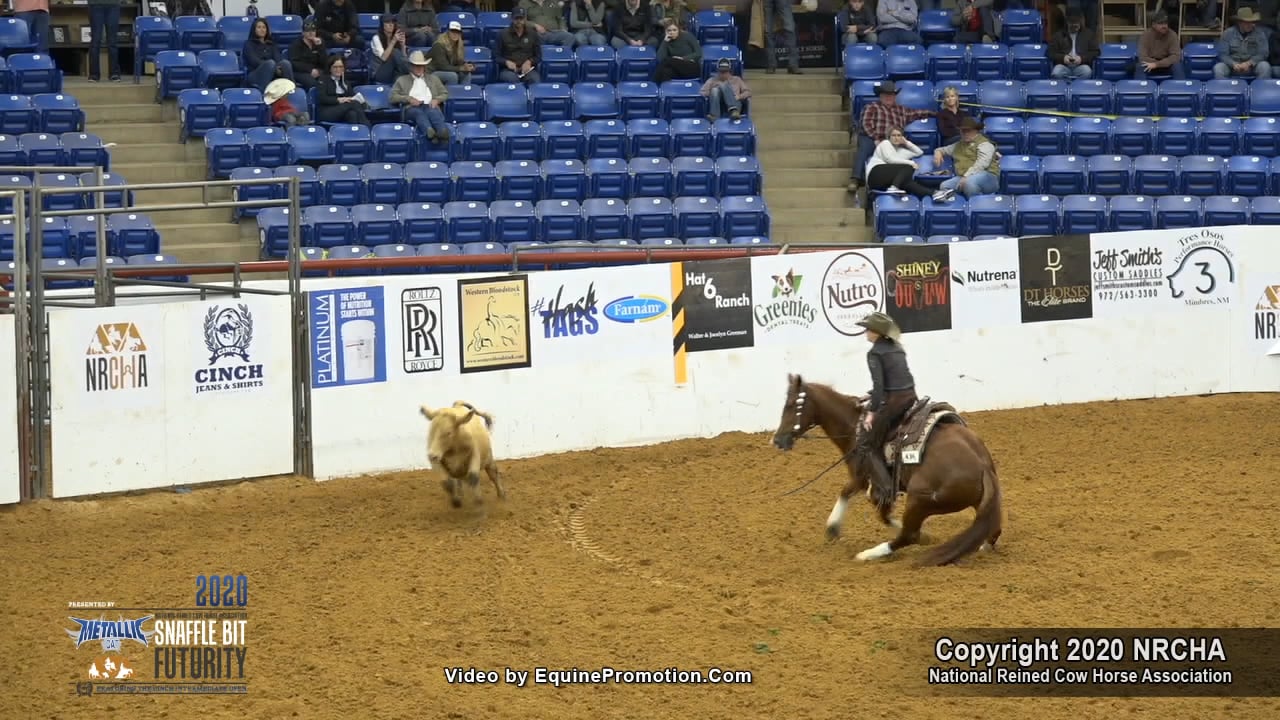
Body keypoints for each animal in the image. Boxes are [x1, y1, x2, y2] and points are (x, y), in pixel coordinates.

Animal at [768, 371, 998, 563]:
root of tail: (982, 466)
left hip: (919, 499)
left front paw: (833, 526)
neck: (854, 427)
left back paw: (869, 554)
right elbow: (854, 497)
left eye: (791, 405)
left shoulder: (868, 479)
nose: (777, 440)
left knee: (908, 535)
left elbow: (869, 505)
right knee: (993, 528)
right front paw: (833, 528)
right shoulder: (866, 480)